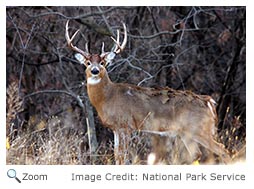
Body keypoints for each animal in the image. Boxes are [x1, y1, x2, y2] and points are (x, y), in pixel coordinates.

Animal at [65, 20, 230, 164]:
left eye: (103, 62)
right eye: (87, 62)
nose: (94, 70)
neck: (107, 97)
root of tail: (209, 102)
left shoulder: (126, 125)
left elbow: (123, 156)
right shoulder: (116, 128)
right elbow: (117, 155)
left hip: (199, 129)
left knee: (222, 149)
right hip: (187, 132)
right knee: (197, 154)